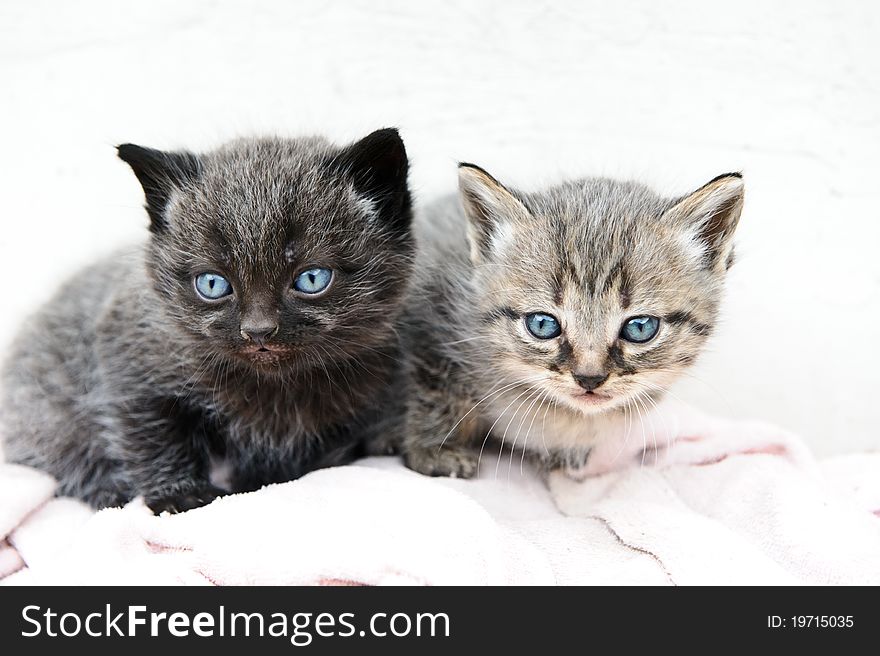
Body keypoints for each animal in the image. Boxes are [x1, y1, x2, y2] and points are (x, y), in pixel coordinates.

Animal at [0, 128, 414, 512]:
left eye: (311, 279)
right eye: (213, 284)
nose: (258, 330)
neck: (273, 389)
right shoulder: (129, 362)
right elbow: (151, 432)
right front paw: (179, 494)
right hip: (41, 411)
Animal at [404, 164, 744, 480]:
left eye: (640, 328)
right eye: (543, 325)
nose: (589, 378)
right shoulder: (428, 324)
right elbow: (432, 393)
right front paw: (435, 451)